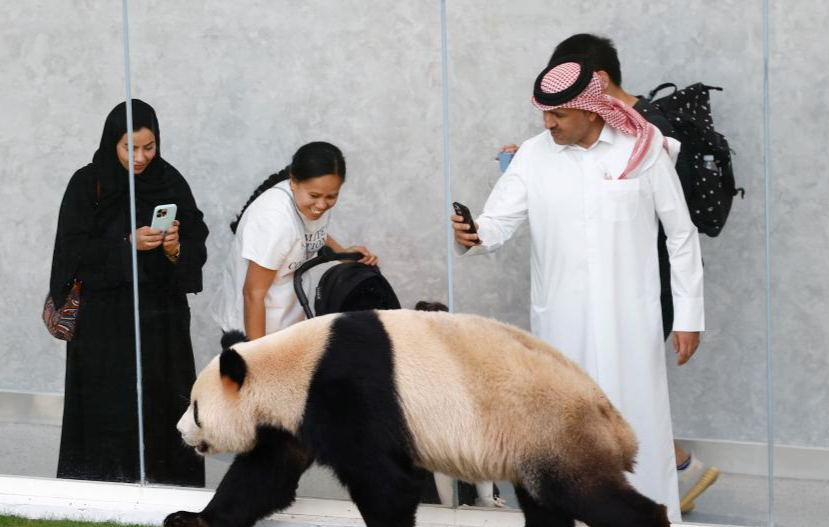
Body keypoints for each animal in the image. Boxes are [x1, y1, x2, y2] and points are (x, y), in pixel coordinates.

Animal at [165, 310, 668, 527]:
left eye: (196, 409)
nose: (178, 431)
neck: (296, 365)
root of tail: (620, 427)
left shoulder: (349, 393)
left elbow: (386, 484)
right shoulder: (294, 419)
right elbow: (263, 478)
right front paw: (190, 519)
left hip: (554, 428)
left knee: (587, 495)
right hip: (536, 443)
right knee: (547, 506)